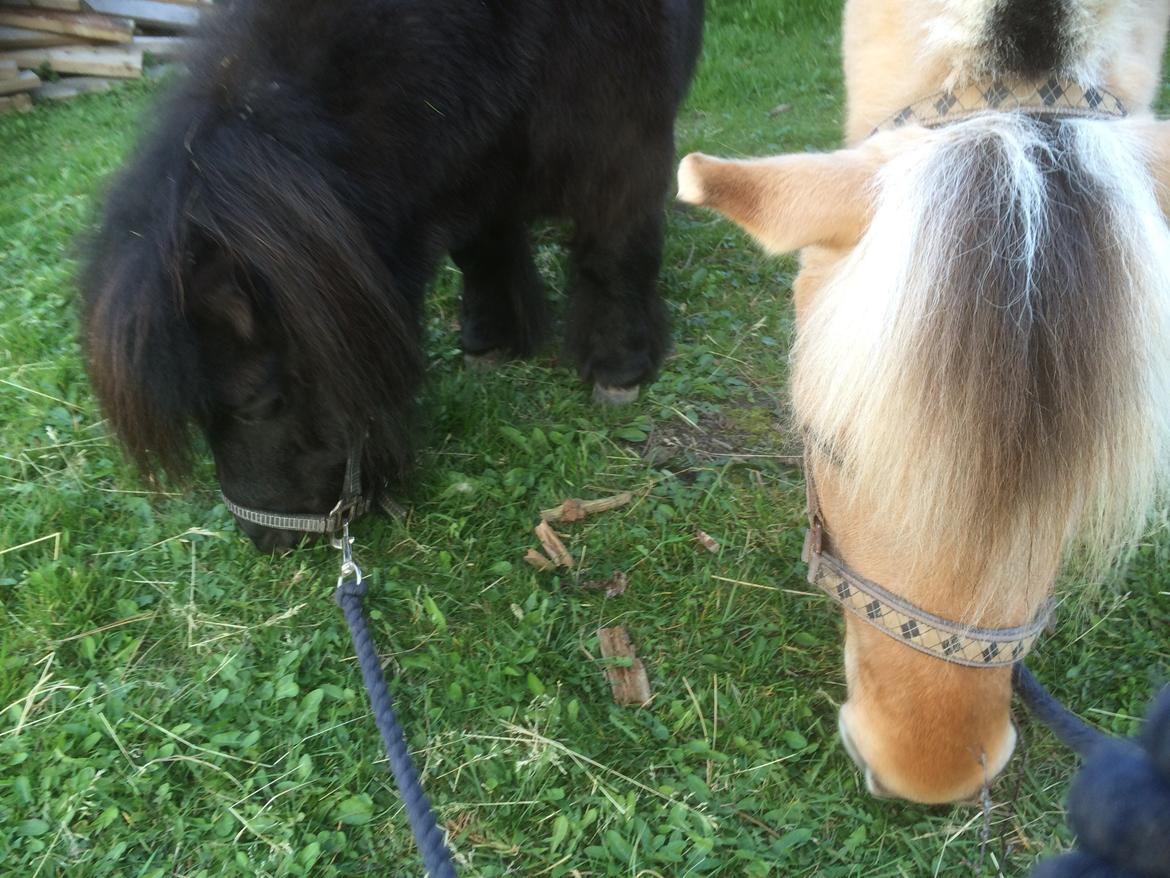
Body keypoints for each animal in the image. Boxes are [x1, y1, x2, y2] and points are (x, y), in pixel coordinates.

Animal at [80, 0, 704, 551]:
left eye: (259, 401)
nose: (265, 538)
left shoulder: (619, 147)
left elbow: (614, 255)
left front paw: (619, 369)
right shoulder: (473, 167)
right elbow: (481, 252)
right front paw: (490, 341)